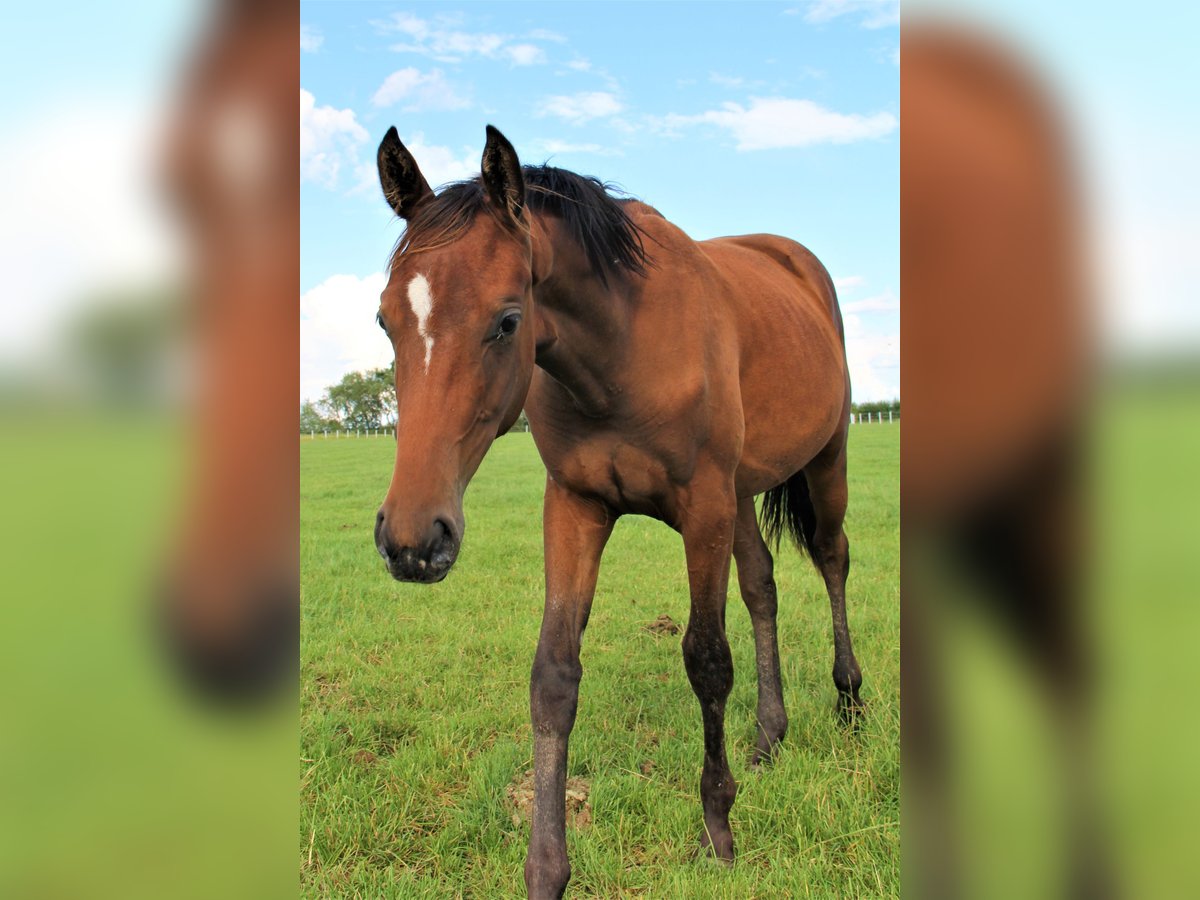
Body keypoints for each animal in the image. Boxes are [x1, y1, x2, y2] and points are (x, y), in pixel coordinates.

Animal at [374, 123, 864, 897]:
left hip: (825, 459)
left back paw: (848, 702)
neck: (620, 354)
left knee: (832, 558)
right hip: (742, 493)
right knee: (762, 587)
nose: (413, 539)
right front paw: (546, 868)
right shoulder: (576, 505)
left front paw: (718, 829)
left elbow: (706, 660)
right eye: (385, 320)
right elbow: (553, 676)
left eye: (507, 321)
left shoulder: (703, 508)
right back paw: (768, 736)